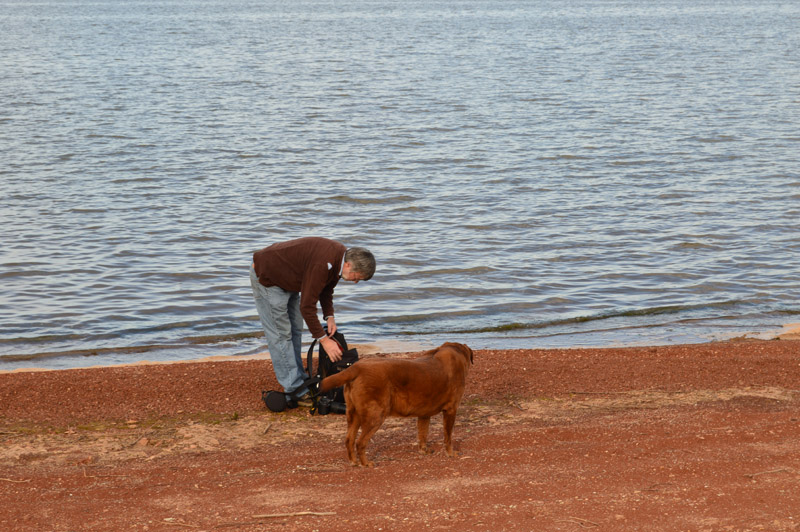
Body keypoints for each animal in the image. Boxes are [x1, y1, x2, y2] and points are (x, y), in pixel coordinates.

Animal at [318, 342, 472, 468]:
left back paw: (354, 462)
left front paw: (424, 450)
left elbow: (423, 434)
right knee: (360, 442)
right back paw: (366, 463)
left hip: (353, 414)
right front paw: (451, 453)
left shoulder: (424, 414)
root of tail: (356, 367)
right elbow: (448, 436)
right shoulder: (451, 409)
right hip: (376, 415)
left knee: (349, 439)